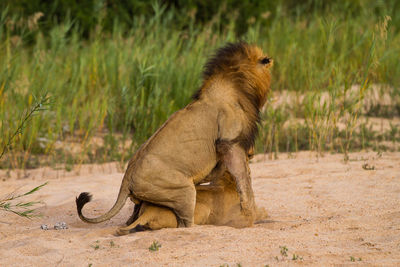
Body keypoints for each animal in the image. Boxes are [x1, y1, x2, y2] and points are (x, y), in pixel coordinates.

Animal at [77, 41, 274, 228]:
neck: (238, 84)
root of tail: (126, 178)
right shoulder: (230, 143)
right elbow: (244, 183)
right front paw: (249, 216)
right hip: (184, 191)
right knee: (185, 224)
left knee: (134, 217)